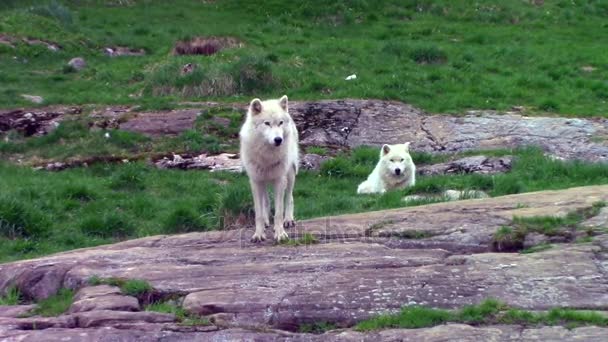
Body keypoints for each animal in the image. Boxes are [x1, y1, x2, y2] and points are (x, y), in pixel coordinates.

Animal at [241, 95, 300, 242]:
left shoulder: (279, 180)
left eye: (280, 123)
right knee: (266, 201)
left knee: (289, 197)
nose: (278, 139)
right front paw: (258, 234)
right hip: (264, 180)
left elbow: (278, 212)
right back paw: (267, 222)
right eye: (267, 123)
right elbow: (258, 213)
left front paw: (280, 234)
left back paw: (288, 220)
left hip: (290, 174)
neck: (267, 155)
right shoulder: (255, 181)